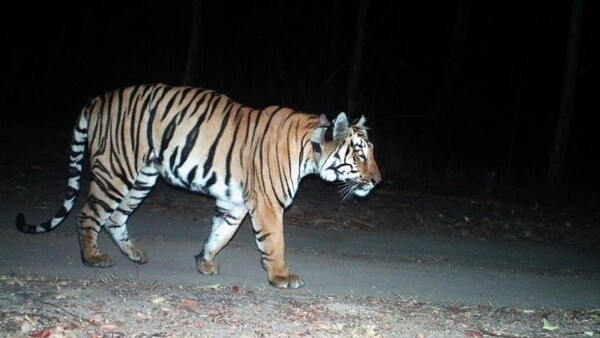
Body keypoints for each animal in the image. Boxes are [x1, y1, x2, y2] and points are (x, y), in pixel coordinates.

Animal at [16, 84, 382, 288]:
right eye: (359, 153)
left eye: (370, 151)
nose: (378, 181)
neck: (309, 152)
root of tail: (98, 99)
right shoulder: (267, 204)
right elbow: (274, 241)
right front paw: (280, 277)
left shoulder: (235, 204)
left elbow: (220, 234)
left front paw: (203, 262)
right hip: (115, 170)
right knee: (89, 215)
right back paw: (92, 257)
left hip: (142, 178)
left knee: (115, 218)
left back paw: (134, 254)